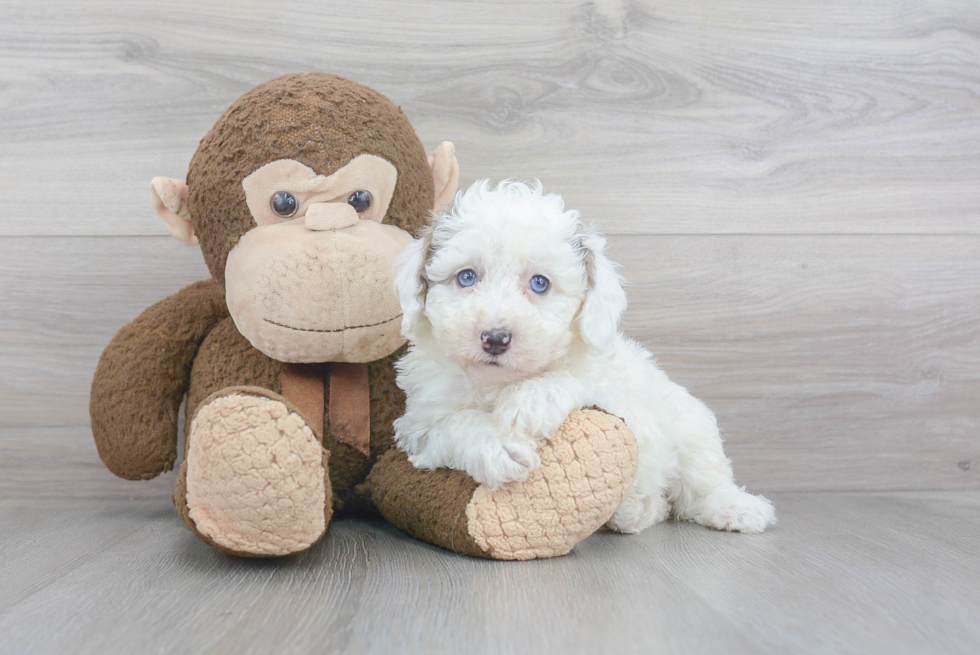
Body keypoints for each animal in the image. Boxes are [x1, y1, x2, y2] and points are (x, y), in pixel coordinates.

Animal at [394, 179, 776, 532]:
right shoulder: (418, 425)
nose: (496, 339)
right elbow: (451, 424)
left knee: (703, 482)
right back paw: (636, 510)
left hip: (691, 425)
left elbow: (580, 380)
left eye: (540, 283)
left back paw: (734, 508)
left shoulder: (624, 402)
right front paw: (497, 444)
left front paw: (531, 400)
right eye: (467, 277)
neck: (500, 382)